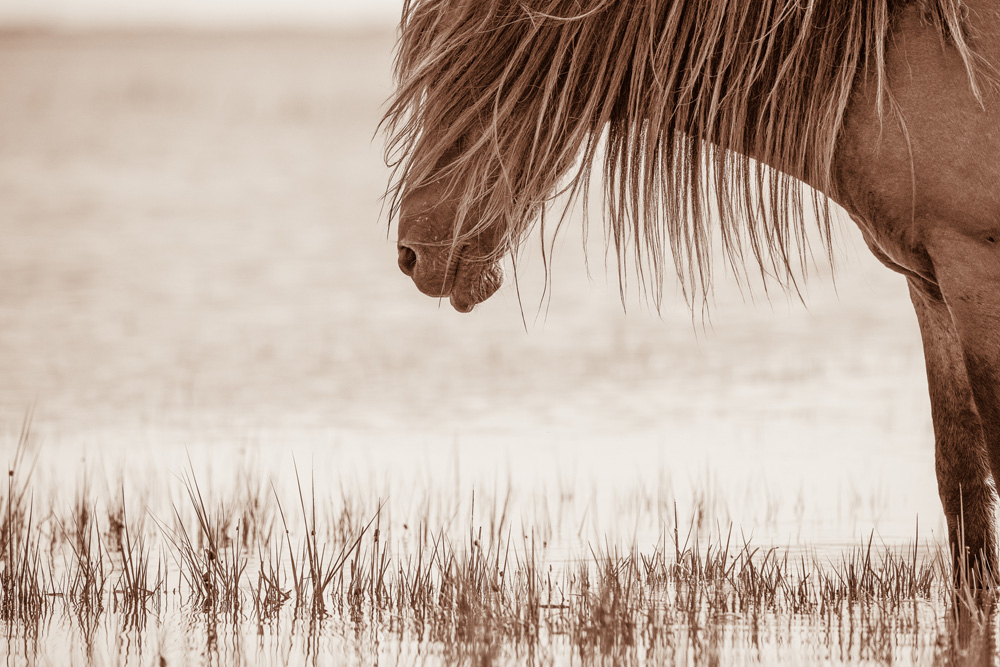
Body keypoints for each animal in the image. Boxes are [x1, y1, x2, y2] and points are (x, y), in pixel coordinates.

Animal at [380, 0, 1000, 584]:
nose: (411, 254)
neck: (890, 68)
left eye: (460, 66)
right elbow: (961, 478)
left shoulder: (974, 272)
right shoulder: (931, 287)